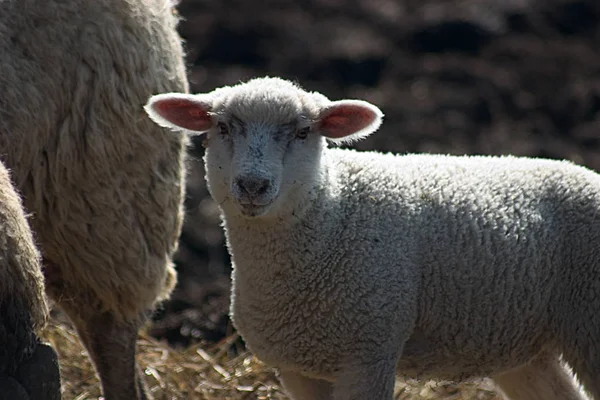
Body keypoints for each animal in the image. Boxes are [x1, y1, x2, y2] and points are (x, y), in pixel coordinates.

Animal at [143, 76, 596, 400]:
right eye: (221, 127)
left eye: (304, 132)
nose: (253, 185)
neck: (332, 215)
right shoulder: (296, 368)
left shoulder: (370, 354)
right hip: (527, 347)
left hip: (587, 324)